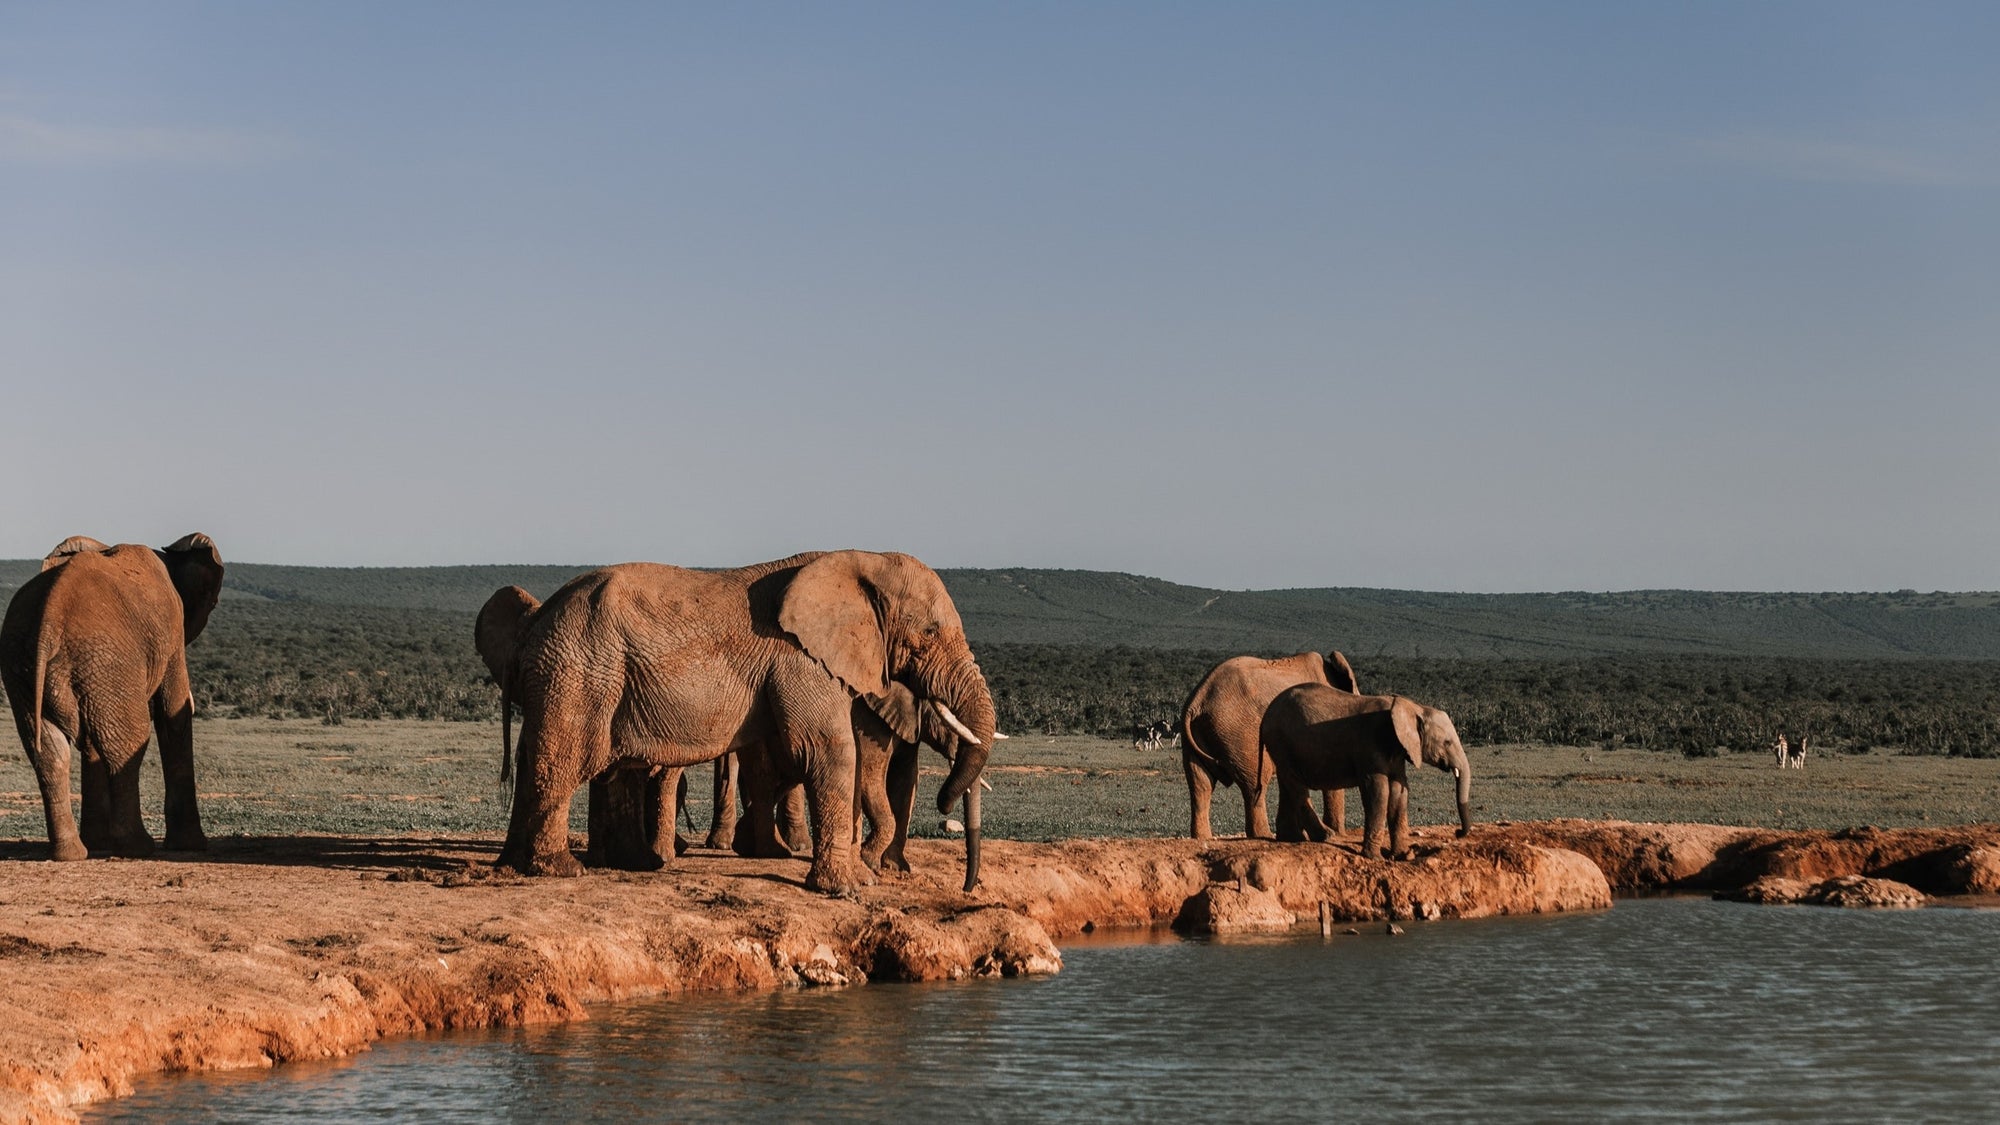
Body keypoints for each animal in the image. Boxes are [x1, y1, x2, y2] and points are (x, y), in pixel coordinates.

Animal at [0, 532, 227, 856]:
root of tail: (50, 619)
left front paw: (98, 843)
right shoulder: (171, 632)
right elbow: (173, 716)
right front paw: (191, 846)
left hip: (32, 664)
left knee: (49, 751)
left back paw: (71, 854)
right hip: (105, 661)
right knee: (128, 742)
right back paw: (137, 846)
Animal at [496, 548, 996, 888]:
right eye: (928, 633)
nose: (944, 804)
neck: (860, 559)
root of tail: (534, 622)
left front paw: (862, 879)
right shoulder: (801, 658)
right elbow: (829, 749)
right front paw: (846, 888)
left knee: (546, 759)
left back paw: (520, 867)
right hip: (580, 670)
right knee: (564, 759)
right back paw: (561, 869)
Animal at [1168, 648, 1360, 832]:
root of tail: (1196, 703)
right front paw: (1335, 834)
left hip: (1198, 738)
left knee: (1200, 785)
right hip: (1242, 734)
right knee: (1254, 785)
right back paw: (1265, 835)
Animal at [1256, 684, 1480, 856]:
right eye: (1447, 742)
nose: (1458, 833)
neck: (1413, 706)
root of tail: (1266, 716)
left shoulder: (1398, 750)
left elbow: (1399, 791)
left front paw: (1403, 856)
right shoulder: (1370, 746)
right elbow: (1379, 792)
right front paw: (1375, 857)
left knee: (1288, 785)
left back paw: (1292, 839)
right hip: (1281, 741)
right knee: (1297, 786)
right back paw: (1326, 836)